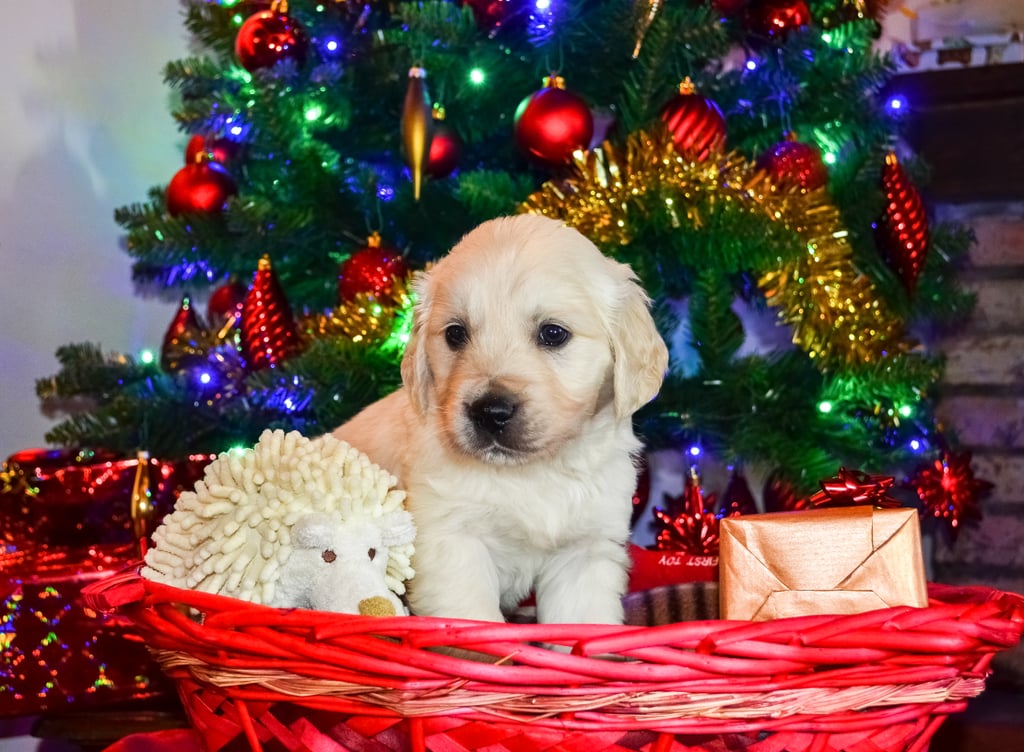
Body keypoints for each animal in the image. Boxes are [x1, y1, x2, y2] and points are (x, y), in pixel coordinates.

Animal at [331, 213, 667, 622]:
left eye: (553, 333)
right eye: (455, 334)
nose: (490, 412)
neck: (531, 473)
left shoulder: (584, 551)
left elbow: (582, 621)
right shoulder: (451, 542)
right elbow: (474, 619)